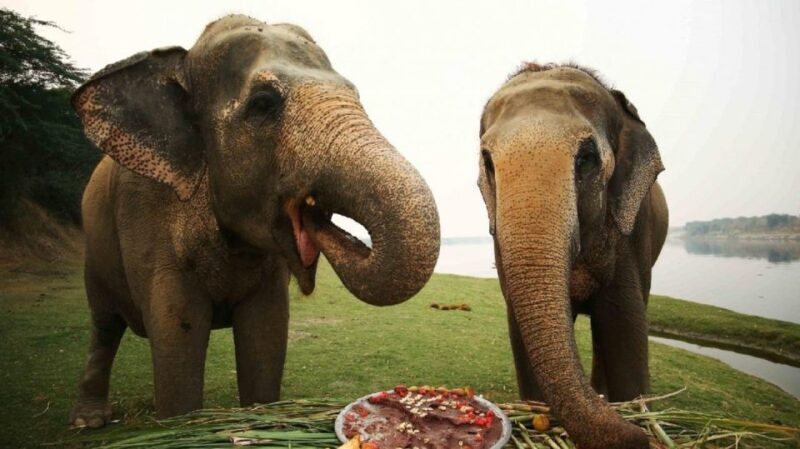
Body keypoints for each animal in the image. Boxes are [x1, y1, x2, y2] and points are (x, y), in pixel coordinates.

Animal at [69, 14, 440, 428]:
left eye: (355, 94)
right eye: (263, 104)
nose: (350, 239)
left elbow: (266, 332)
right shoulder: (145, 210)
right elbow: (177, 332)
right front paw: (182, 427)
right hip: (95, 255)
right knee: (103, 324)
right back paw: (88, 420)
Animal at [477, 63, 668, 449]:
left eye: (586, 157)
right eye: (488, 162)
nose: (641, 437)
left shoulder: (631, 230)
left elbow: (623, 324)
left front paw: (635, 411)